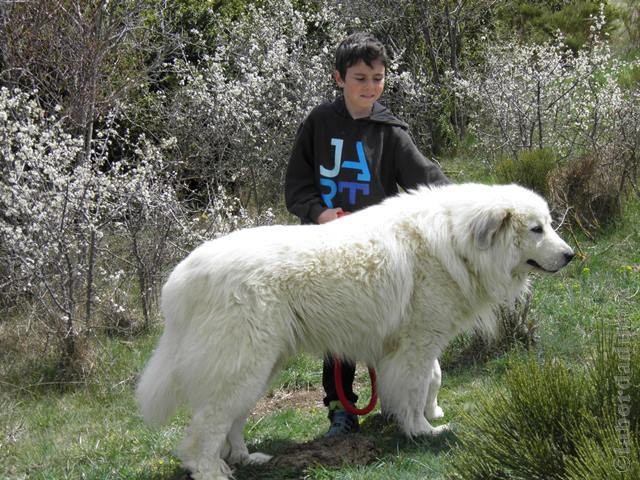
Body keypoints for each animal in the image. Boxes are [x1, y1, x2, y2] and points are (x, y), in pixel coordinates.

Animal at [135, 183, 576, 480]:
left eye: (549, 225)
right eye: (536, 229)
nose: (571, 255)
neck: (459, 243)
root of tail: (180, 278)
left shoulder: (417, 342)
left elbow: (433, 377)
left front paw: (430, 412)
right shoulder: (416, 343)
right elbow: (415, 387)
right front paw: (423, 430)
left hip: (259, 367)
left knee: (232, 420)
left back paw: (245, 458)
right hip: (242, 364)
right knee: (206, 429)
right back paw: (212, 469)